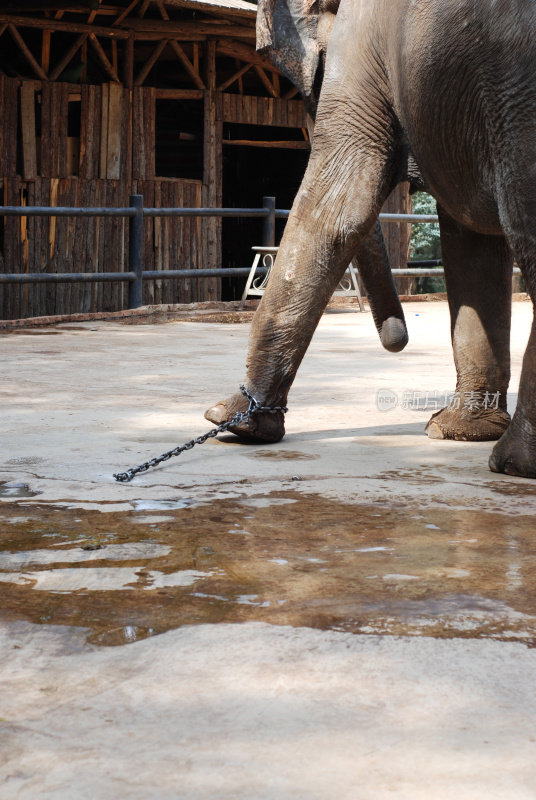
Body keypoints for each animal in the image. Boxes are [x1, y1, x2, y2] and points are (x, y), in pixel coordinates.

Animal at [207, 0, 536, 476]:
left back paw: (513, 463)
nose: (397, 341)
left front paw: (232, 422)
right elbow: (471, 240)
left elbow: (335, 207)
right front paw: (458, 432)